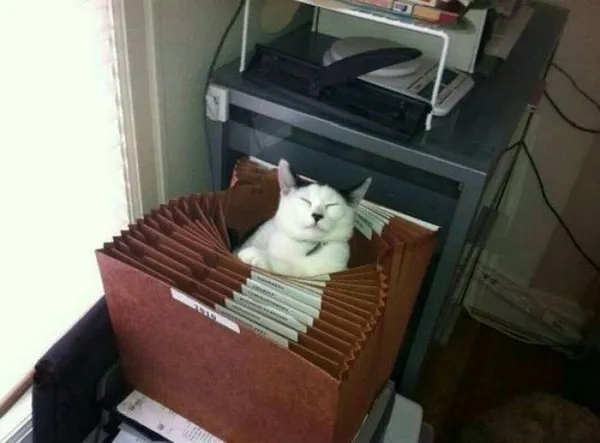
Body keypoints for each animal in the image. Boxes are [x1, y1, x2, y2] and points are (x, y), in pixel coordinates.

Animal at [235, 159, 372, 278]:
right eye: (305, 200)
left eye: (331, 205)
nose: (317, 215)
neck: (306, 247)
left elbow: (294, 270)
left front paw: (260, 256)